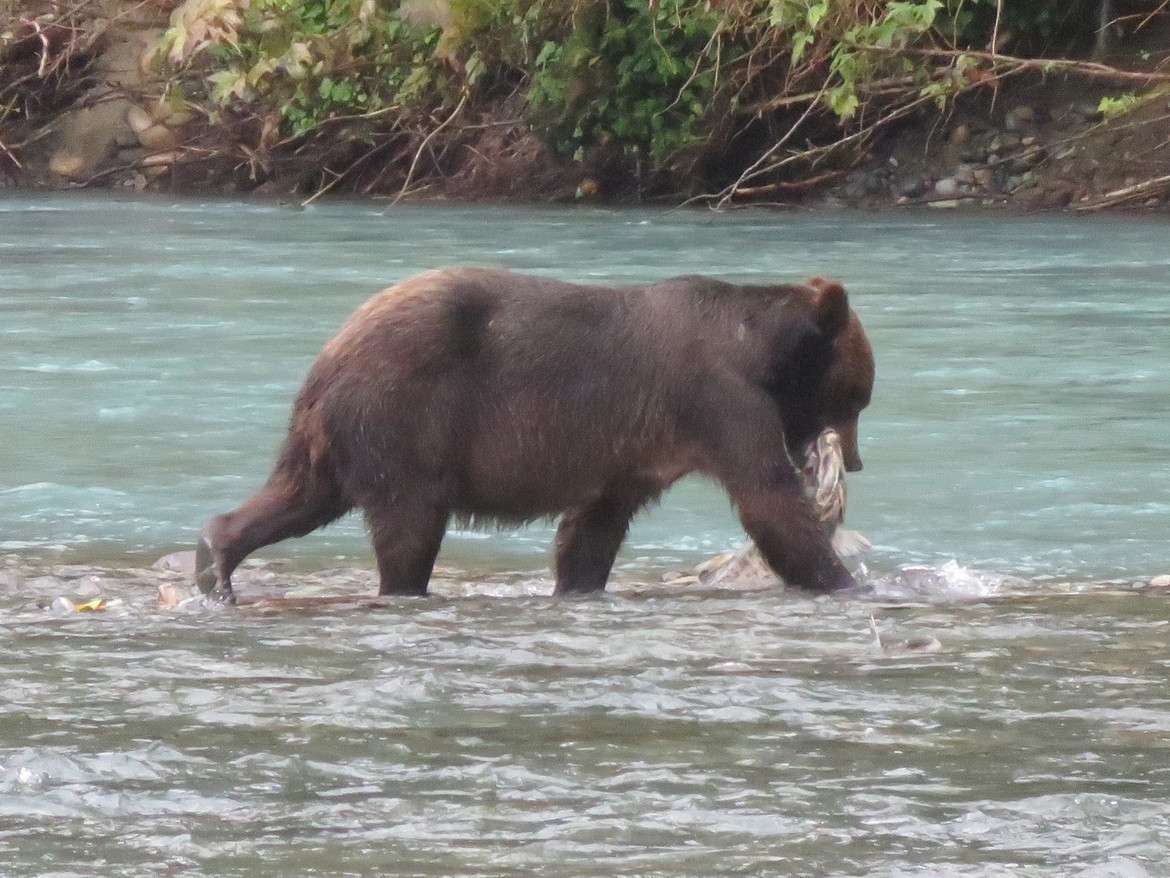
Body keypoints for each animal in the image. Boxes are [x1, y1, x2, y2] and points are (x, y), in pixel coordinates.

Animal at [195, 268, 874, 601]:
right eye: (858, 399)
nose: (857, 461)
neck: (757, 353)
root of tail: (331, 351)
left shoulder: (631, 450)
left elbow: (593, 528)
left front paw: (578, 584)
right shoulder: (718, 400)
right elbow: (769, 504)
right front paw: (845, 580)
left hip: (339, 433)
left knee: (300, 495)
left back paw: (215, 555)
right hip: (405, 417)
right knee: (407, 527)